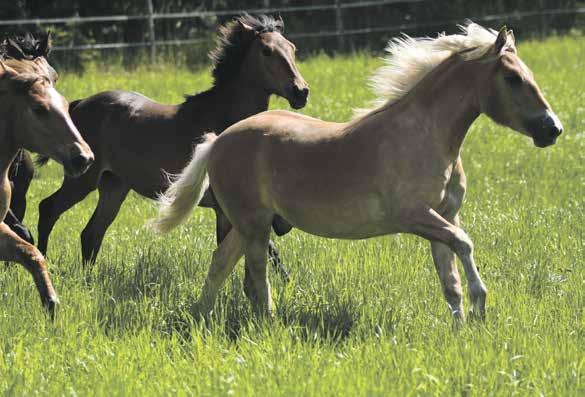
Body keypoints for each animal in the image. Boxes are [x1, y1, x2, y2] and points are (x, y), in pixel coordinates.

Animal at [37, 13, 308, 280]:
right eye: (266, 51)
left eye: (292, 48)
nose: (301, 92)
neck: (223, 118)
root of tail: (78, 105)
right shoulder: (229, 208)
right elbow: (263, 250)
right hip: (83, 179)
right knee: (48, 209)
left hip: (114, 186)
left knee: (91, 232)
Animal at [154, 24, 560, 322]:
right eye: (512, 79)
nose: (552, 129)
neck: (423, 136)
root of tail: (217, 141)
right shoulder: (414, 215)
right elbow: (464, 243)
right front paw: (481, 305)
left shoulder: (444, 216)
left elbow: (451, 281)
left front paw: (461, 330)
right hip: (254, 226)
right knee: (257, 277)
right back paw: (266, 324)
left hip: (249, 224)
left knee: (221, 263)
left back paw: (201, 317)